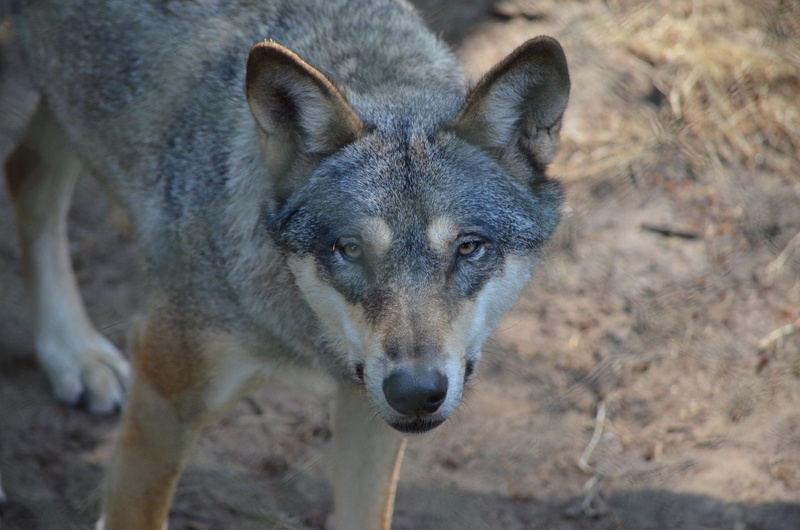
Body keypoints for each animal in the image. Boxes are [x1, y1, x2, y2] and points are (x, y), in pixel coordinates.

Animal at [1, 0, 569, 527]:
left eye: (468, 248)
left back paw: (72, 353)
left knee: (26, 174)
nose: (415, 393)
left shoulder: (368, 413)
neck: (304, 334)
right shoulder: (164, 396)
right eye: (349, 249)